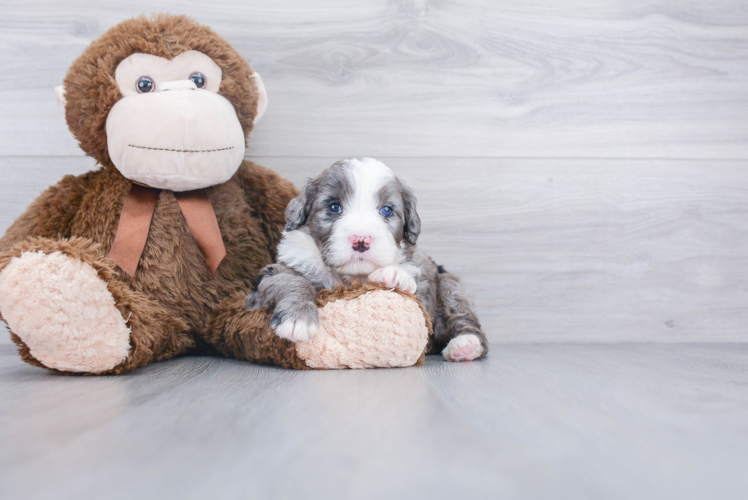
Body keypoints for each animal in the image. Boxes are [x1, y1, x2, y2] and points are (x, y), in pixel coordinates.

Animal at [248, 158, 488, 362]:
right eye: (334, 207)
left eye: (387, 210)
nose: (361, 240)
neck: (349, 276)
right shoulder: (274, 272)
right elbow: (293, 281)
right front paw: (298, 319)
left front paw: (394, 276)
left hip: (450, 286)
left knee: (465, 320)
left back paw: (465, 345)